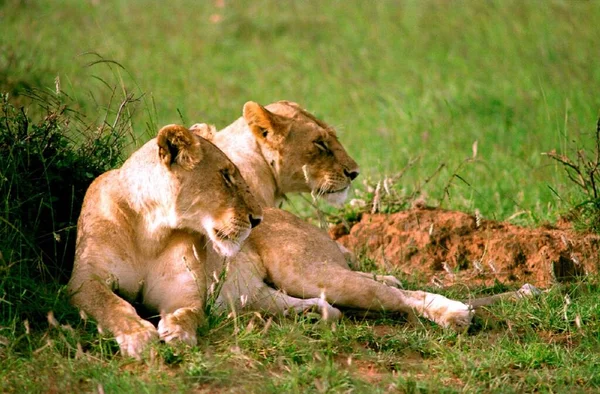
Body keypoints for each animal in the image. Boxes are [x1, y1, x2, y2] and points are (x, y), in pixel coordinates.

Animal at [67, 124, 262, 358]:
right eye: (225, 176)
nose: (258, 219)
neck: (151, 232)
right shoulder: (84, 279)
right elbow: (111, 303)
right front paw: (138, 335)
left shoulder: (182, 289)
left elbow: (189, 312)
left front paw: (179, 332)